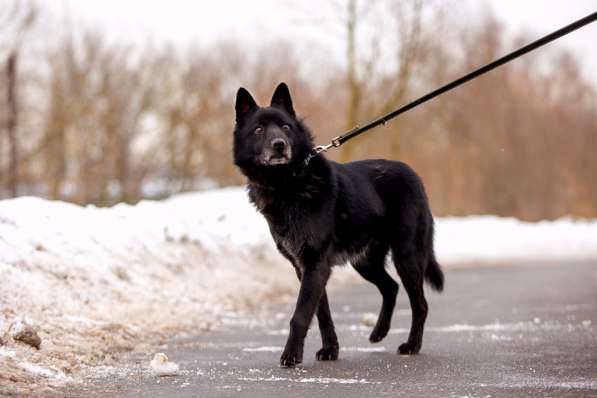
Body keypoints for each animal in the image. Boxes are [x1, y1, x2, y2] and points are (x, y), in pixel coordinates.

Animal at [233, 83, 442, 366]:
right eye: (258, 129)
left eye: (285, 127)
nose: (279, 145)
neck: (289, 184)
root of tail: (415, 176)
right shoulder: (305, 267)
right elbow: (322, 313)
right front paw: (331, 350)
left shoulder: (315, 263)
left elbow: (300, 314)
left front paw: (291, 355)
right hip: (365, 261)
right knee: (390, 287)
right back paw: (379, 332)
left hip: (406, 256)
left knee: (420, 304)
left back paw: (412, 345)